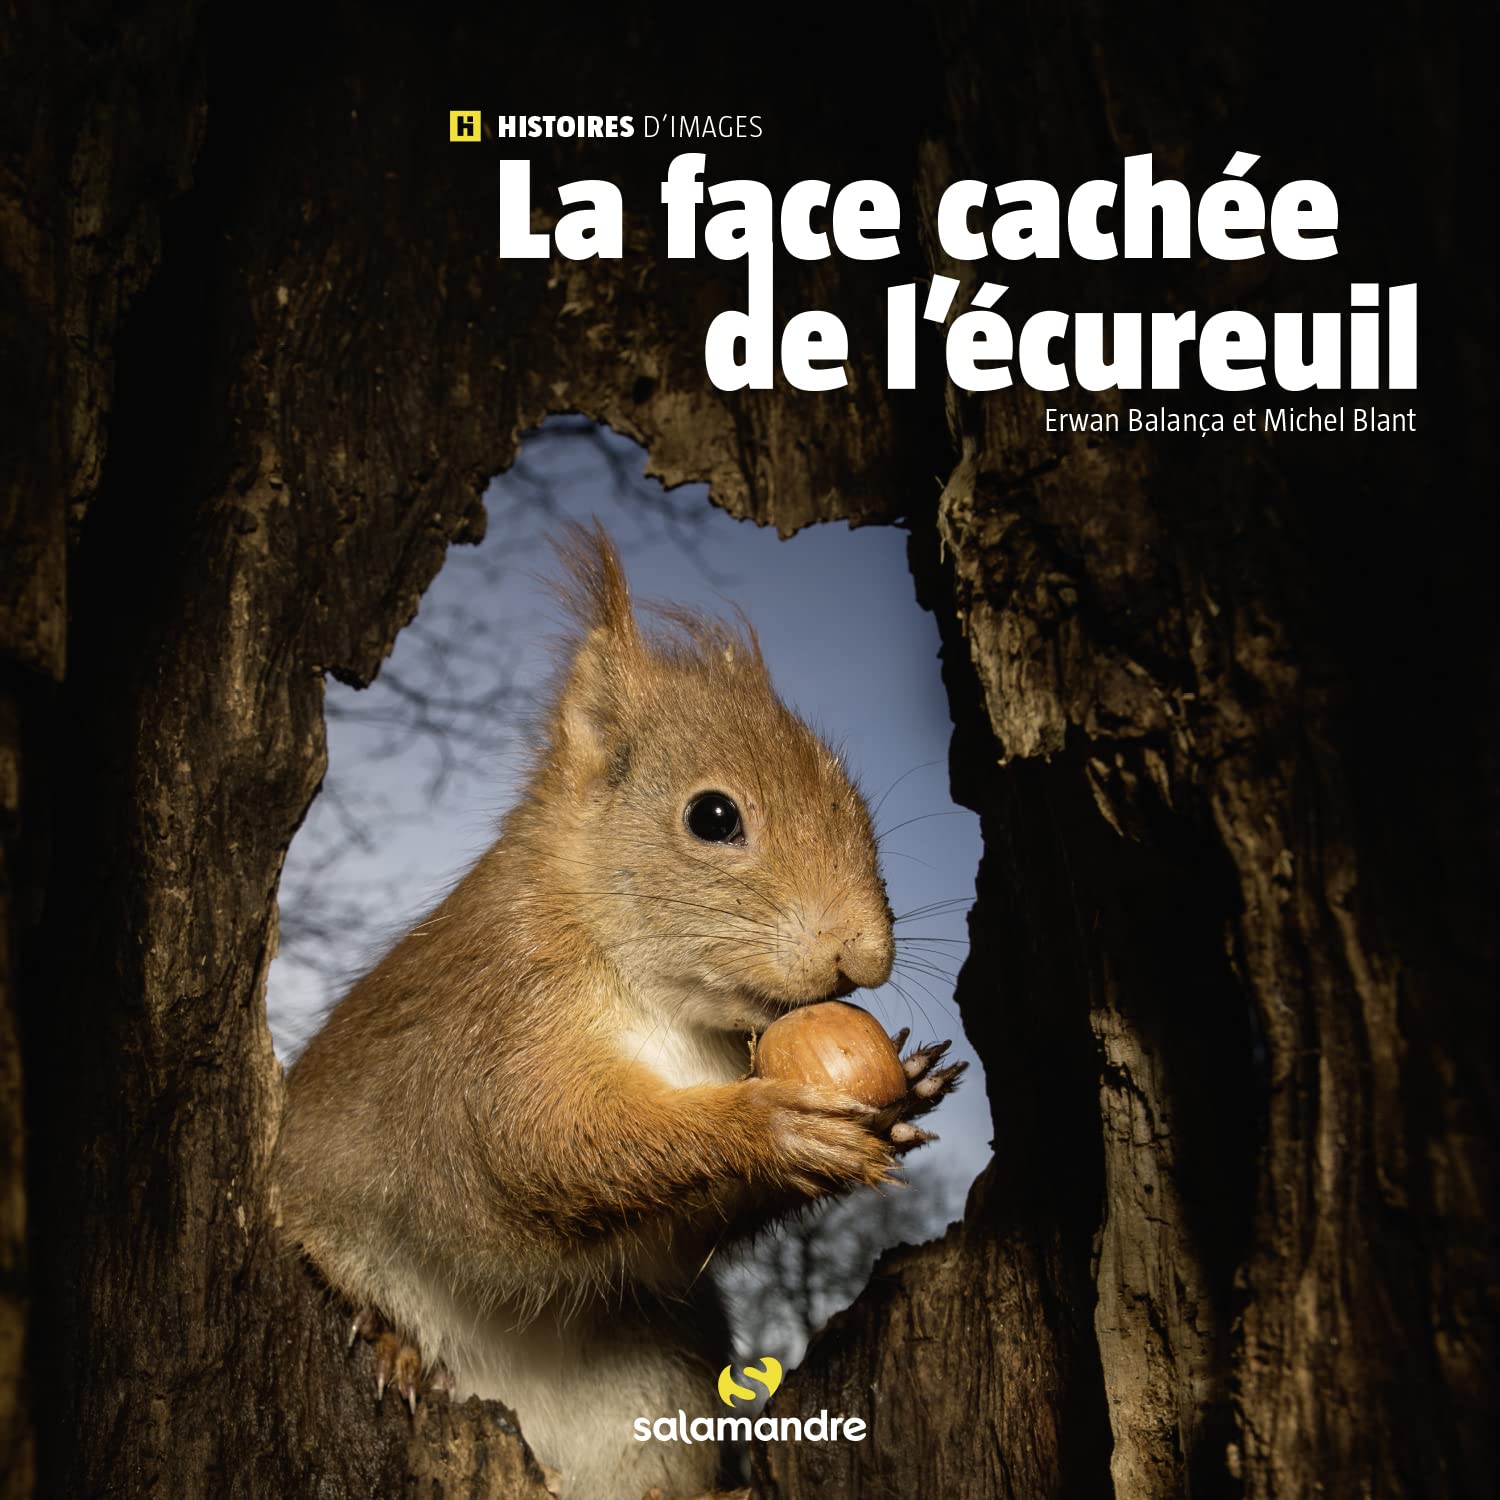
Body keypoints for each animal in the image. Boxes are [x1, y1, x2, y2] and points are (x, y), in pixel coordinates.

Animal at [274, 524, 964, 1499]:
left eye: (854, 800)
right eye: (712, 817)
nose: (861, 953)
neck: (674, 1017)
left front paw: (906, 1093)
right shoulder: (494, 1025)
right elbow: (540, 1141)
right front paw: (770, 1127)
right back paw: (392, 1346)